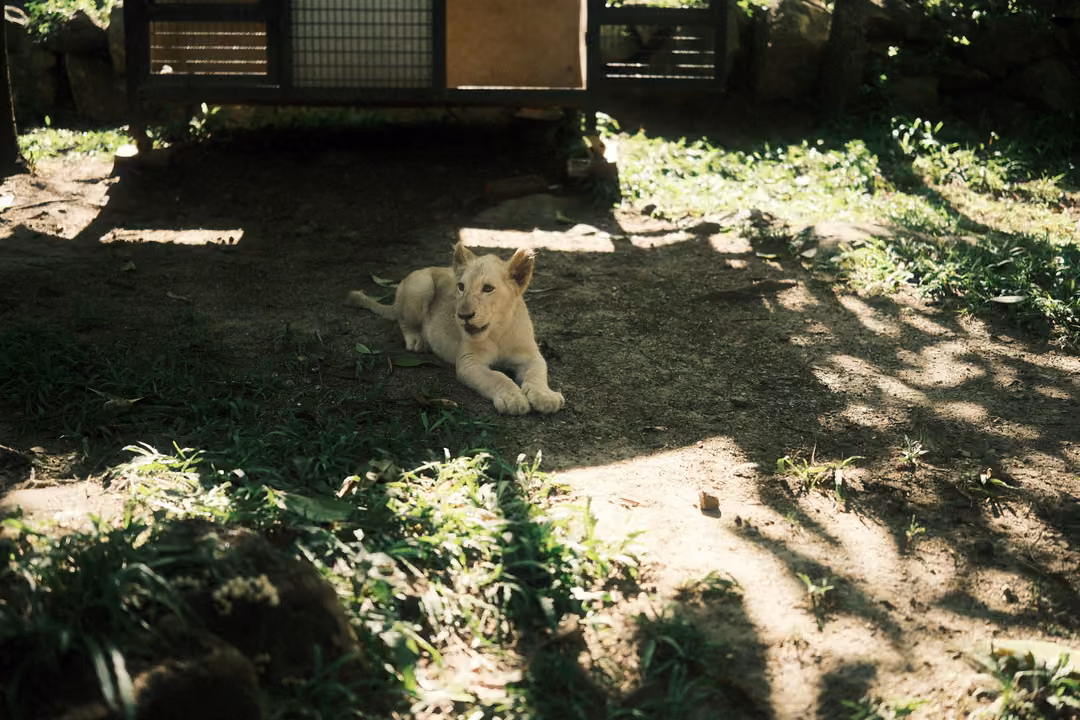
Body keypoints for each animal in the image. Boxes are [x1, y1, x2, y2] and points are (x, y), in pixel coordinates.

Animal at [346, 241, 565, 415]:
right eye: (461, 287)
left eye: (488, 289)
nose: (463, 316)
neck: (497, 331)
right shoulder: (469, 362)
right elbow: (496, 377)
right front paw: (513, 398)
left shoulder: (531, 355)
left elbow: (537, 373)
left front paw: (546, 397)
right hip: (421, 286)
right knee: (403, 320)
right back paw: (417, 340)